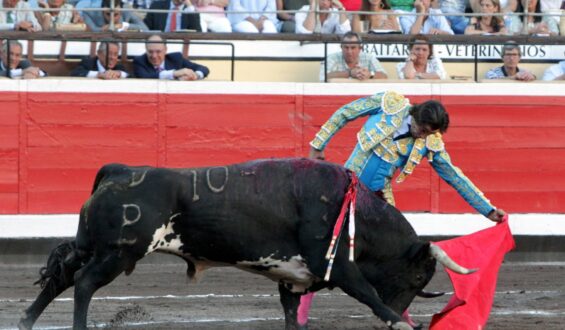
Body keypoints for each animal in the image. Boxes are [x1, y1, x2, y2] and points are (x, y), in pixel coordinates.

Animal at [18, 159, 472, 328]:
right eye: (418, 276)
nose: (404, 311)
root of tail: (121, 170)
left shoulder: (292, 278)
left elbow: (292, 316)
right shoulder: (339, 265)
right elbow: (366, 293)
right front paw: (400, 321)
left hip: (91, 246)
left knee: (62, 277)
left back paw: (25, 320)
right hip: (117, 254)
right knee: (83, 284)